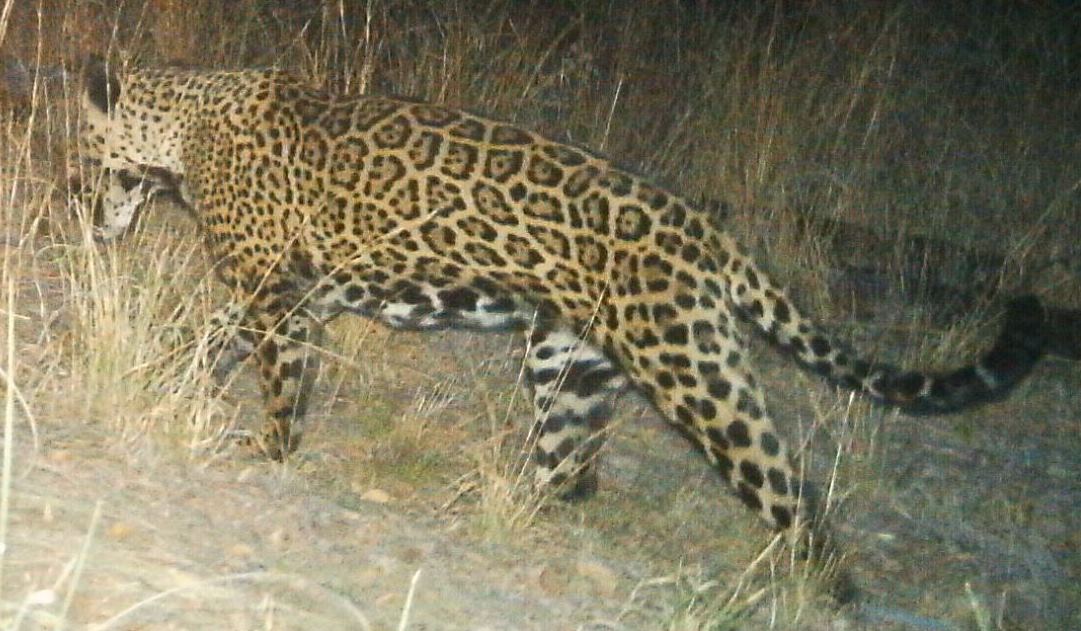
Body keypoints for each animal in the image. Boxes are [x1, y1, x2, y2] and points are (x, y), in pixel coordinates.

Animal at [77, 56, 1047, 555]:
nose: (79, 205)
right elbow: (211, 338)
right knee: (571, 468)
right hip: (568, 359)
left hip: (692, 370)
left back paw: (809, 582)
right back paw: (502, 507)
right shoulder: (295, 293)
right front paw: (179, 380)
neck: (185, 122)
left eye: (88, 158)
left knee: (792, 492)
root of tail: (712, 234)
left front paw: (268, 448)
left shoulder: (276, 292)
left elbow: (274, 379)